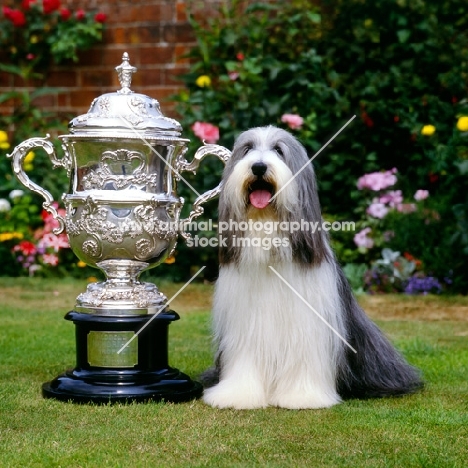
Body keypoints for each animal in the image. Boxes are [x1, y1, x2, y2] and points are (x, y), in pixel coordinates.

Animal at [201, 126, 424, 408]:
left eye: (279, 150)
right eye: (248, 149)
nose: (259, 167)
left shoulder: (308, 323)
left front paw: (302, 396)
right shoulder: (245, 327)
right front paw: (238, 395)